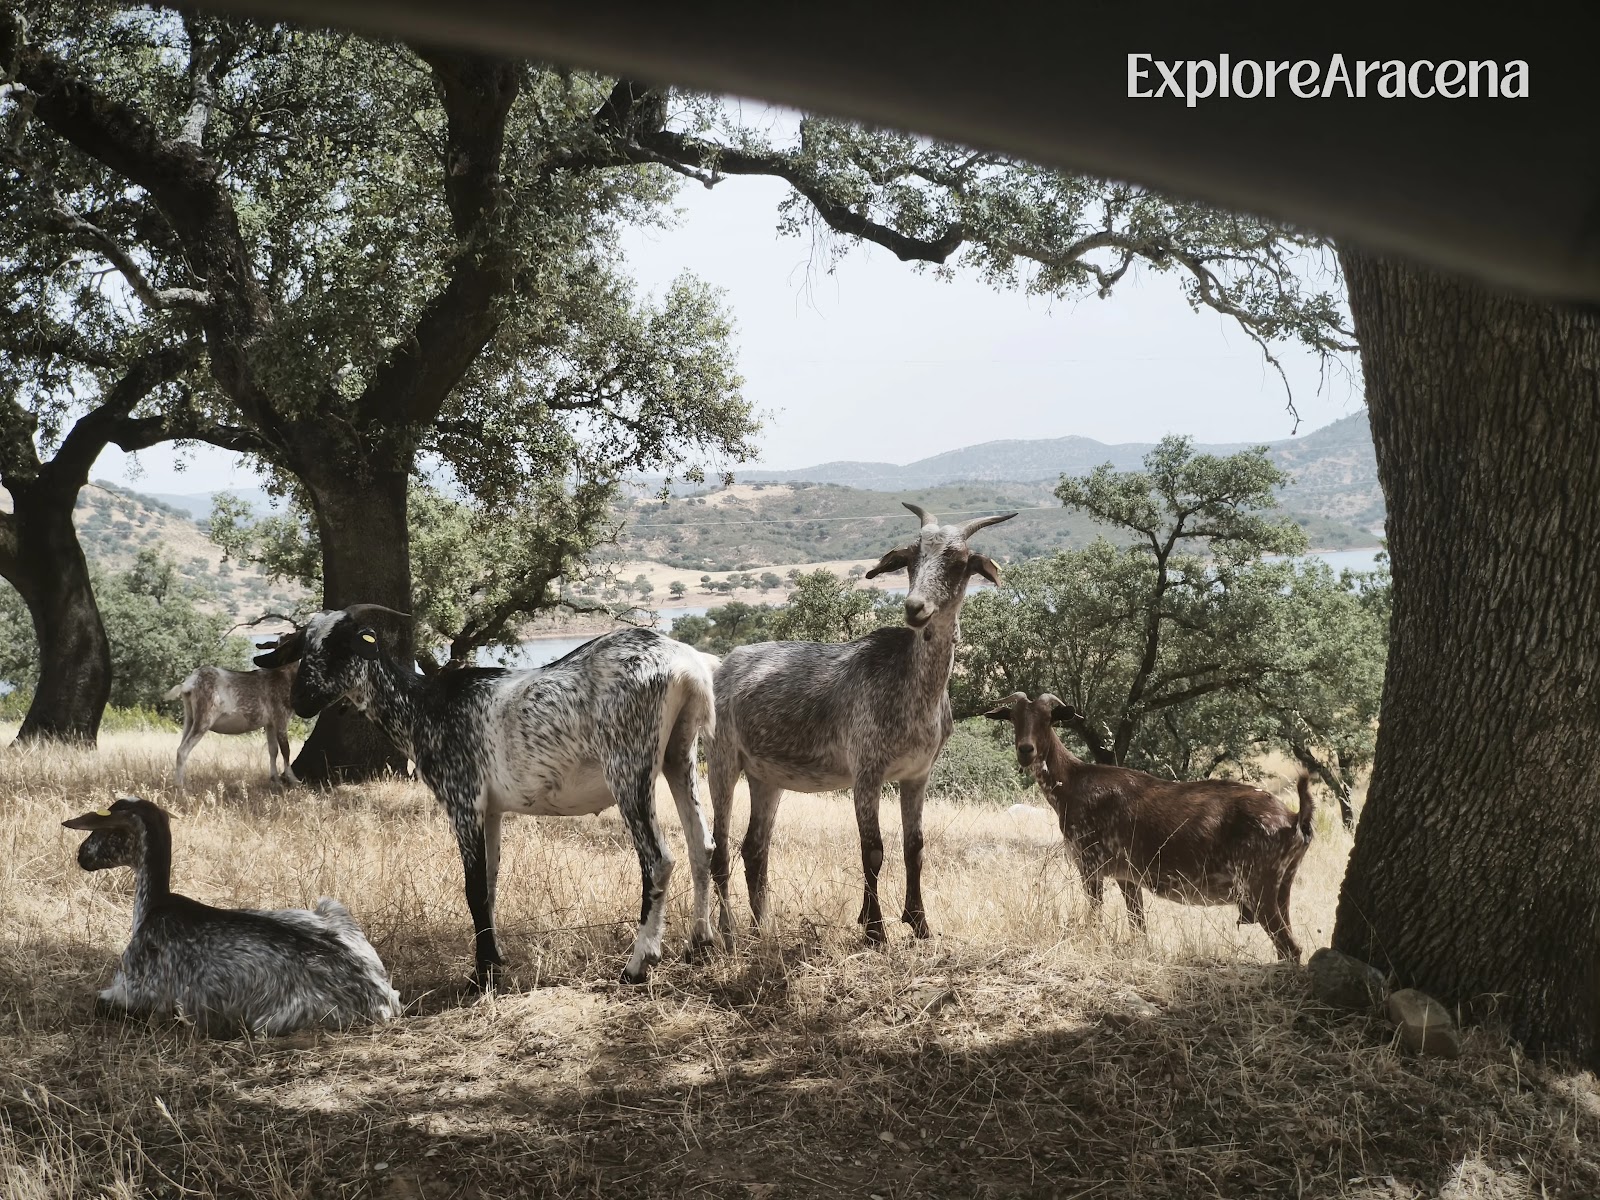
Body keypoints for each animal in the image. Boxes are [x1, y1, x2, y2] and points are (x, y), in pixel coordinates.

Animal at [63, 796, 401, 1035]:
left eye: (103, 829)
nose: (81, 856)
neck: (152, 907)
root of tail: (381, 999)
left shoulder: (138, 990)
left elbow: (102, 1002)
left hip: (272, 1020)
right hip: (330, 906)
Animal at [164, 650, 299, 791]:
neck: (287, 677)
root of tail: (190, 682)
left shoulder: (270, 723)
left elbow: (273, 750)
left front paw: (276, 781)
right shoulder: (281, 716)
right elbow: (286, 749)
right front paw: (293, 780)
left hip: (189, 718)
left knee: (179, 746)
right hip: (204, 717)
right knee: (183, 750)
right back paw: (180, 788)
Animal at [253, 608, 717, 986]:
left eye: (341, 645)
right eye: (303, 649)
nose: (301, 699)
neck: (425, 708)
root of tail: (686, 665)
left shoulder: (463, 799)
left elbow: (473, 887)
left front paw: (483, 974)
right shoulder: (491, 810)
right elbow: (491, 884)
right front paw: (495, 959)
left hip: (628, 763)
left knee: (659, 859)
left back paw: (638, 964)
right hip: (679, 755)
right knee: (703, 846)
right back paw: (700, 945)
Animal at [707, 503, 1016, 945]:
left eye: (958, 562)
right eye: (911, 558)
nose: (915, 607)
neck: (910, 687)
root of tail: (721, 665)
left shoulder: (917, 774)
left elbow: (914, 847)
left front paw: (920, 924)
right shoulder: (867, 769)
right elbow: (873, 848)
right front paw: (874, 930)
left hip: (766, 776)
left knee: (754, 847)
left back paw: (762, 927)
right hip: (721, 760)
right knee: (718, 847)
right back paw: (727, 932)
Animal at [984, 692, 1315, 962]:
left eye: (1047, 718)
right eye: (1014, 717)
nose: (1025, 750)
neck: (1074, 783)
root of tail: (1294, 819)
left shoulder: (1090, 864)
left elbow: (1095, 917)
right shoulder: (1127, 876)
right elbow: (1139, 927)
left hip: (1258, 885)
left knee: (1290, 948)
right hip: (1281, 887)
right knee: (1289, 947)